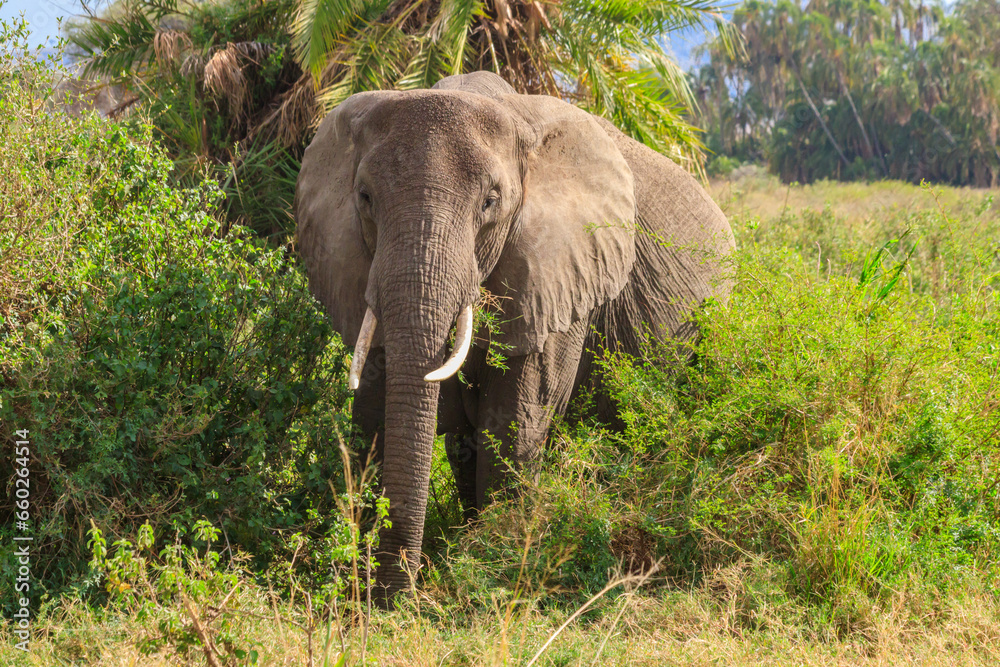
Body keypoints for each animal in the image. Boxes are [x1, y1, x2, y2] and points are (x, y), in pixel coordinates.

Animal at [295, 71, 735, 603]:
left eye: (491, 202)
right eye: (363, 197)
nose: (397, 597)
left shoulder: (560, 271)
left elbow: (512, 426)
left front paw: (487, 572)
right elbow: (380, 417)